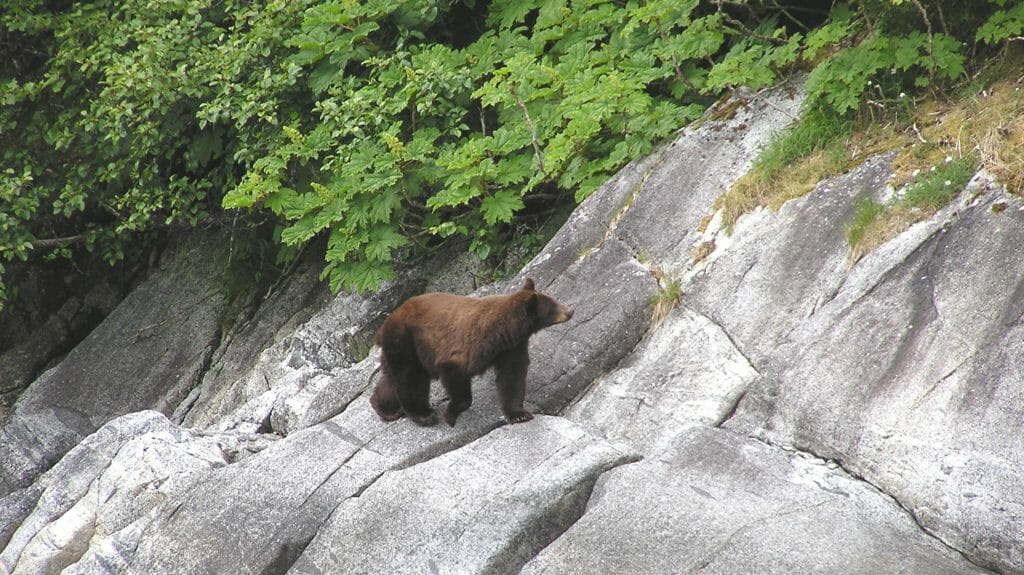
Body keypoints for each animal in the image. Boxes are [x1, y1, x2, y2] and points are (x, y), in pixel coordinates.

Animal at [369, 277, 573, 427]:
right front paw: (451, 414)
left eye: (553, 300)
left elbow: (512, 377)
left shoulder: (510, 349)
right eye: (552, 306)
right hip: (405, 340)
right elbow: (456, 375)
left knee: (392, 378)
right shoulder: (469, 346)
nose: (570, 310)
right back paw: (423, 415)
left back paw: (384, 408)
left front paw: (519, 414)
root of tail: (385, 324)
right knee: (411, 378)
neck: (504, 332)